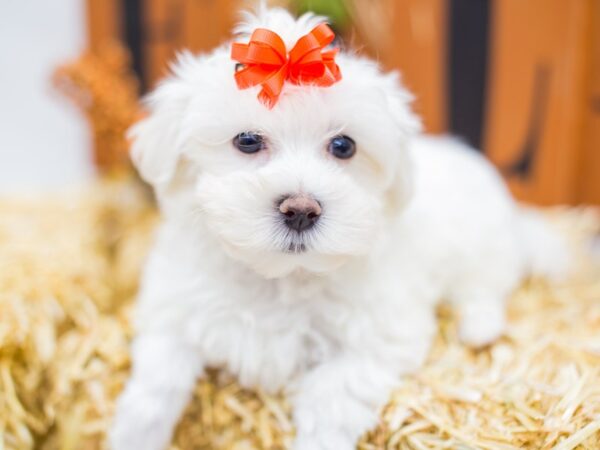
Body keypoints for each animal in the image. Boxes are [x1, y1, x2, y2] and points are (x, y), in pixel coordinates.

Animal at [109, 7, 568, 450]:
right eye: (247, 141)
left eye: (343, 146)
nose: (300, 210)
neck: (279, 279)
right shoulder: (174, 304)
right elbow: (156, 379)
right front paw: (132, 434)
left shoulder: (383, 334)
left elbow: (334, 393)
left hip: (482, 248)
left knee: (485, 286)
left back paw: (479, 327)